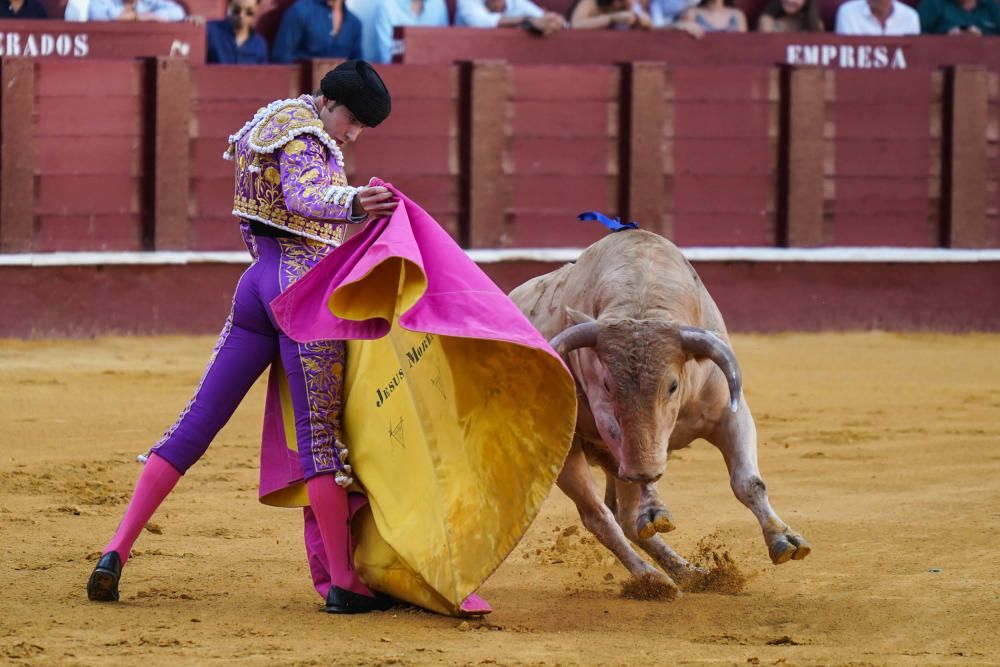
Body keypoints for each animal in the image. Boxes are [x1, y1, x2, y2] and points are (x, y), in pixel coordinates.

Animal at [512, 228, 808, 596]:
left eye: (672, 385)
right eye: (608, 385)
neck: (643, 304)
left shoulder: (731, 414)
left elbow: (748, 482)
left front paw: (786, 541)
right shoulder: (616, 430)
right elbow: (640, 475)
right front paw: (655, 509)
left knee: (623, 516)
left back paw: (689, 572)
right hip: (564, 453)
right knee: (603, 517)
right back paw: (653, 577)